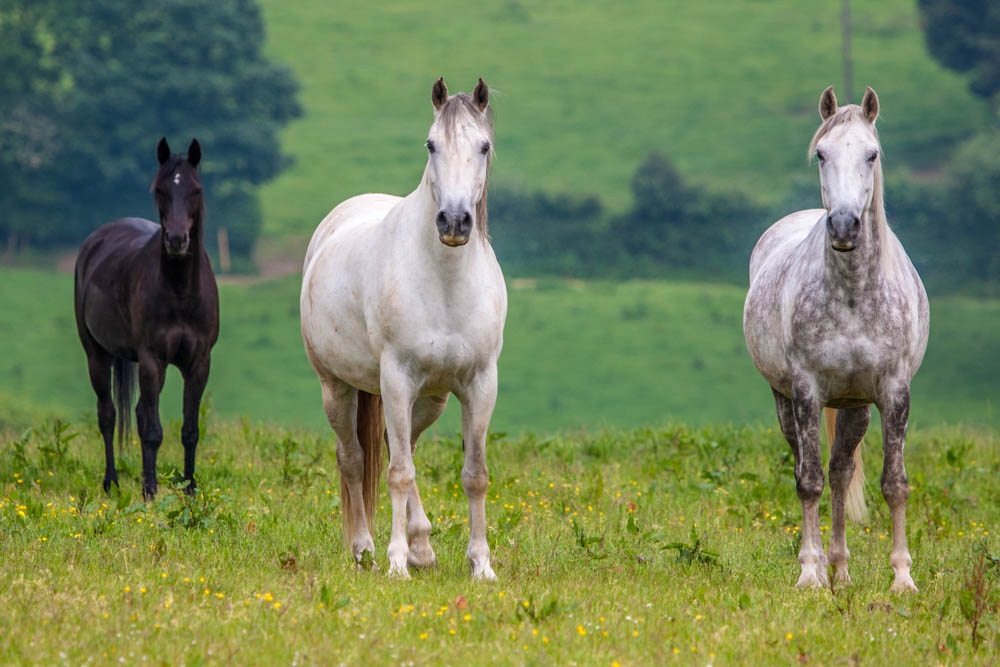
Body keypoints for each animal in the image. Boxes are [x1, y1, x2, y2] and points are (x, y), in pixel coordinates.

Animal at [75, 138, 220, 498]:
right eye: (161, 190)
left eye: (195, 190)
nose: (177, 240)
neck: (181, 293)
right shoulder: (152, 360)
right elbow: (152, 430)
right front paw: (151, 491)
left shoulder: (199, 362)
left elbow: (190, 429)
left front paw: (190, 488)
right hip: (97, 355)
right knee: (108, 415)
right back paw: (112, 482)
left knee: (137, 412)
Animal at [294, 77, 500, 580]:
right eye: (431, 144)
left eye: (483, 146)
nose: (454, 221)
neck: (445, 281)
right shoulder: (397, 378)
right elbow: (398, 473)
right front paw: (395, 564)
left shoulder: (480, 384)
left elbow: (474, 475)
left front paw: (481, 564)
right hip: (338, 388)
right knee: (354, 459)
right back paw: (365, 548)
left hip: (429, 400)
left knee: (394, 446)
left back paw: (422, 545)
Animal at [744, 86, 928, 592]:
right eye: (822, 154)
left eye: (872, 154)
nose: (844, 226)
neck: (851, 294)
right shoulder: (806, 390)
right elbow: (808, 481)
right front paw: (809, 573)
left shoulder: (894, 392)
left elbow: (893, 483)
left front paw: (902, 577)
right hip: (786, 400)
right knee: (809, 467)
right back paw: (825, 566)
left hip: (855, 406)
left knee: (842, 472)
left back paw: (842, 569)